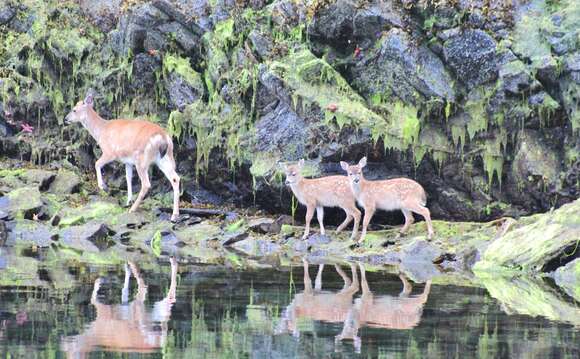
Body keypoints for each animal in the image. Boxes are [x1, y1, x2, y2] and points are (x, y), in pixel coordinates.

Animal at [64, 93, 180, 221]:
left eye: (74, 109)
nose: (66, 119)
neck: (101, 130)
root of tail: (163, 138)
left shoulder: (110, 152)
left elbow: (97, 163)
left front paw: (103, 186)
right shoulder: (127, 161)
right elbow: (128, 177)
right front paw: (128, 200)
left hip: (142, 159)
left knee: (146, 184)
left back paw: (133, 209)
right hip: (166, 158)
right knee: (175, 178)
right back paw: (174, 215)